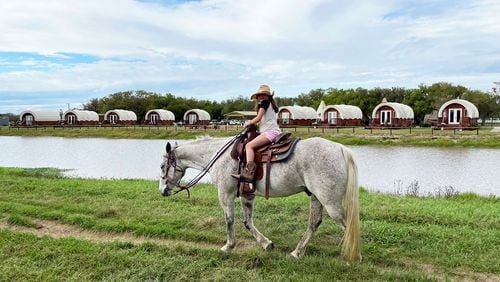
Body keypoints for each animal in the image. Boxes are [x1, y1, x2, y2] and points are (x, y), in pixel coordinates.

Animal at [159, 135, 360, 262]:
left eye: (162, 166)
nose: (162, 191)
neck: (218, 156)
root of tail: (341, 149)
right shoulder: (247, 195)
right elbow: (248, 222)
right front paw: (266, 244)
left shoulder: (225, 194)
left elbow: (229, 220)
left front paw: (229, 246)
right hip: (317, 198)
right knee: (314, 223)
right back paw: (297, 252)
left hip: (330, 203)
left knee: (347, 226)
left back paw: (355, 256)